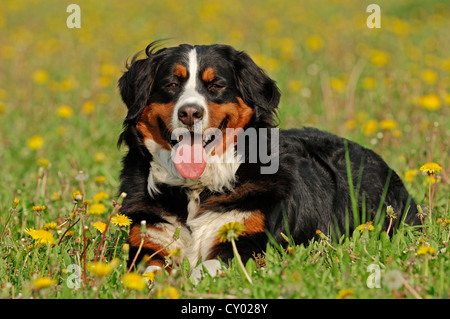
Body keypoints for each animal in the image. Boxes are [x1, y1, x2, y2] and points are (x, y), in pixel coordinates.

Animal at [118, 43, 420, 280]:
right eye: (171, 84)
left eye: (216, 85)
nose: (190, 113)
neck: (196, 189)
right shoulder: (150, 240)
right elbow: (148, 273)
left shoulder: (246, 242)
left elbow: (206, 270)